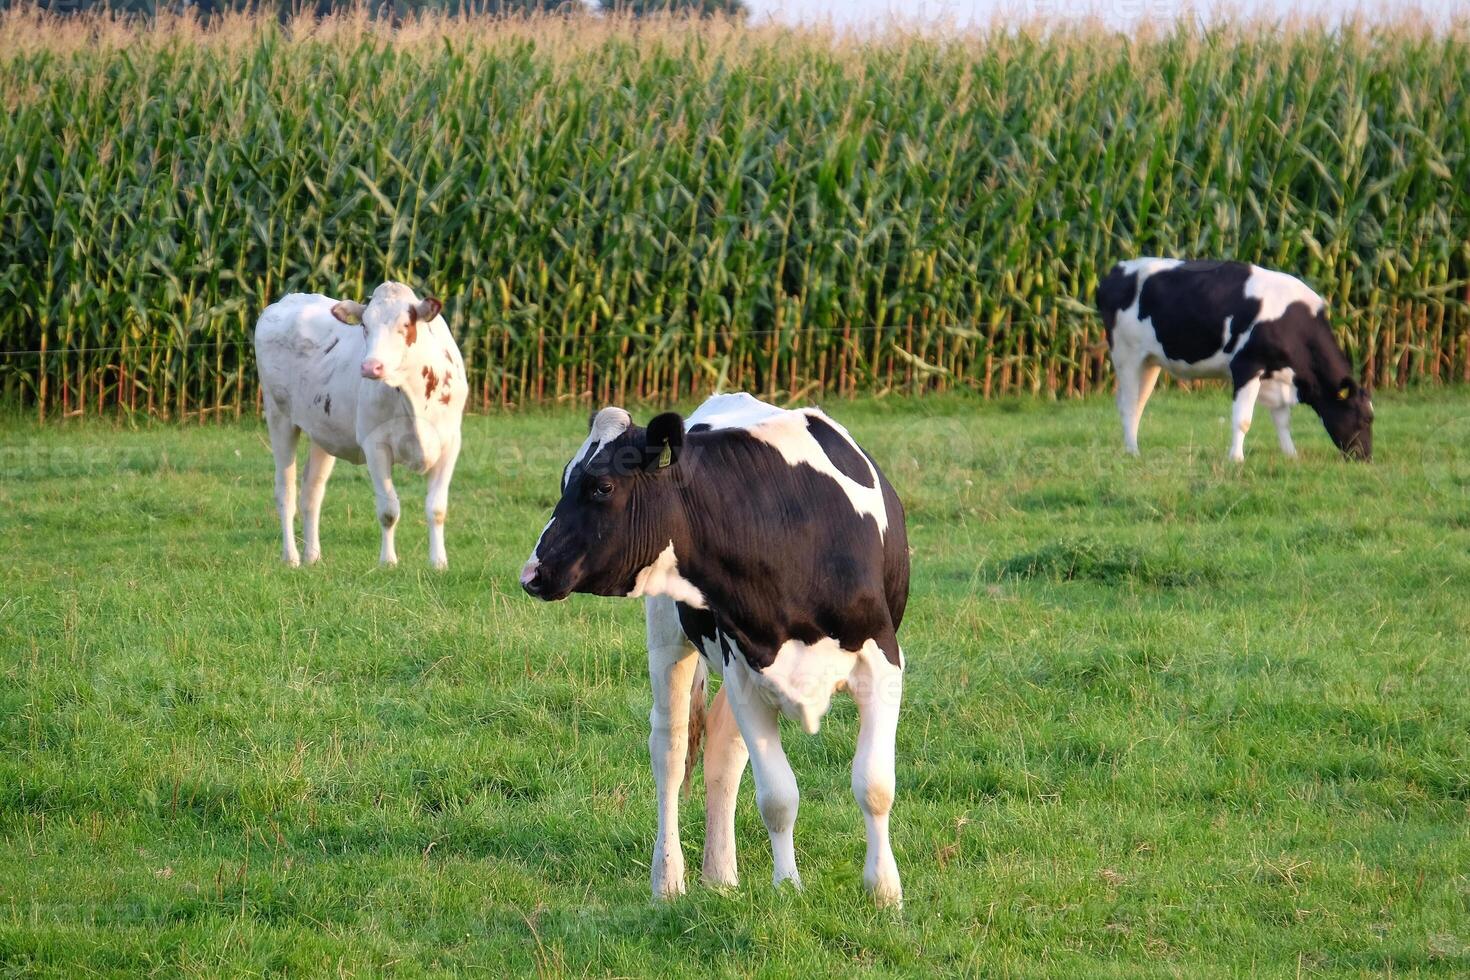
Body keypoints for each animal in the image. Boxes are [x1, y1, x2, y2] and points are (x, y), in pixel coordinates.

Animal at [254, 279, 464, 570]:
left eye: (405, 325)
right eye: (365, 325)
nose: (370, 367)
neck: (413, 396)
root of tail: (286, 300)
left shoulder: (450, 442)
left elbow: (437, 508)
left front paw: (438, 562)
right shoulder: (375, 444)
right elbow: (389, 510)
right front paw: (388, 562)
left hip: (323, 431)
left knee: (311, 492)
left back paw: (312, 556)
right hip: (278, 416)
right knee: (285, 491)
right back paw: (292, 557)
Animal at [517, 393, 905, 910]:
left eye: (601, 486)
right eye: (564, 481)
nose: (532, 574)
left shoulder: (882, 662)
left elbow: (875, 785)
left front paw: (885, 892)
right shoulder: (745, 669)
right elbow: (778, 797)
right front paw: (788, 887)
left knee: (723, 747)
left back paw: (720, 875)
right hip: (668, 634)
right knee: (671, 750)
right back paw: (669, 880)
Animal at [1099, 258, 1370, 461]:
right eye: (1364, 417)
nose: (1366, 457)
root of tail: (1117, 269)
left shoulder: (1278, 375)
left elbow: (1282, 421)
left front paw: (1291, 455)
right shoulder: (1246, 366)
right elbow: (1243, 420)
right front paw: (1236, 458)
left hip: (1150, 361)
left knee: (1139, 403)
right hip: (1126, 355)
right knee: (1128, 405)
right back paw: (1133, 452)